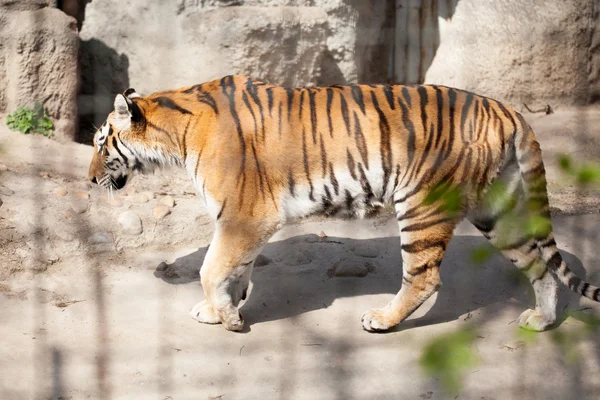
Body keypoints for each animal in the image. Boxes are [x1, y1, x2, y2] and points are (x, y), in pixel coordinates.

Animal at [89, 75, 600, 332]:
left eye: (99, 142)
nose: (90, 179)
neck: (175, 131)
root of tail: (508, 109)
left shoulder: (245, 214)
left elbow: (211, 268)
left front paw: (225, 317)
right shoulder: (245, 222)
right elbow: (235, 269)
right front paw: (225, 309)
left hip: (422, 205)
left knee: (425, 277)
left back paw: (381, 320)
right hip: (495, 211)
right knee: (540, 264)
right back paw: (543, 320)